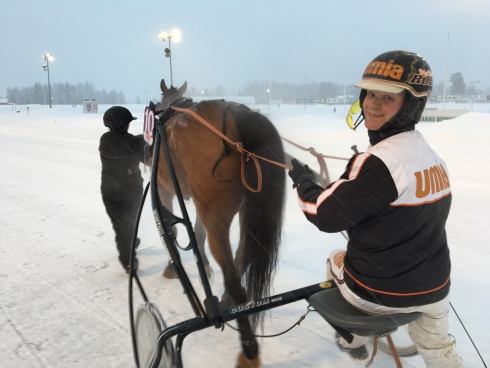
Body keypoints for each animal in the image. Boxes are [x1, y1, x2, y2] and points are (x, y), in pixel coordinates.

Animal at [153, 80, 286, 368]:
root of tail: (238, 116)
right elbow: (196, 233)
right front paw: (203, 264)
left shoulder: (164, 189)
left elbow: (173, 229)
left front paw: (172, 266)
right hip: (248, 207)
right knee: (244, 255)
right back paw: (225, 299)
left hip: (218, 213)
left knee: (235, 280)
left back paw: (248, 349)